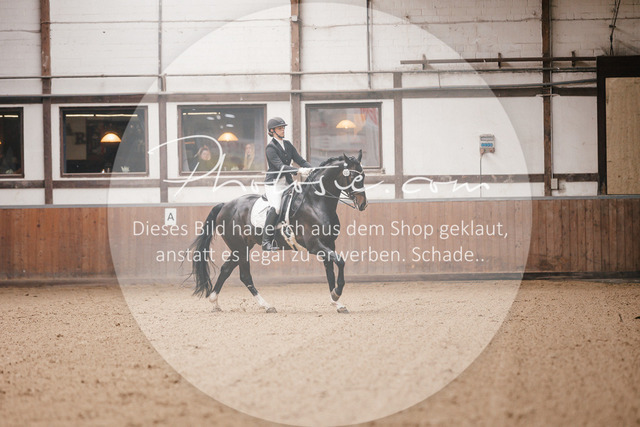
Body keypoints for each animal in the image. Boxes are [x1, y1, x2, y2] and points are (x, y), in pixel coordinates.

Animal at [191, 151, 368, 314]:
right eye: (353, 176)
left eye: (363, 175)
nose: (363, 204)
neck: (316, 202)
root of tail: (225, 205)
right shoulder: (315, 245)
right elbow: (340, 261)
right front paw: (337, 293)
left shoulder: (329, 243)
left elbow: (330, 271)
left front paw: (336, 302)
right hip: (240, 248)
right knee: (245, 276)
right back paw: (266, 305)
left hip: (241, 248)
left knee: (226, 269)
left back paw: (215, 302)